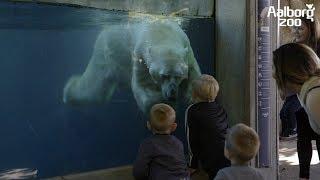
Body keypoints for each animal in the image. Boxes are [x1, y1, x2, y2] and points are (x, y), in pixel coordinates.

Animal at [63, 19, 200, 112]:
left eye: (179, 75)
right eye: (163, 75)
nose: (172, 93)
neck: (161, 33)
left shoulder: (187, 48)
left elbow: (195, 73)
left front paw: (190, 96)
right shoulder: (139, 54)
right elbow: (141, 85)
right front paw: (161, 101)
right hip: (105, 55)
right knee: (94, 91)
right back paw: (68, 90)